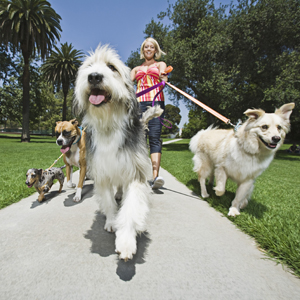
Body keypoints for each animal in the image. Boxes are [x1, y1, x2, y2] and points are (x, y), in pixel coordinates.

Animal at [74, 44, 161, 260]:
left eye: (111, 67)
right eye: (89, 67)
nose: (94, 77)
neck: (109, 124)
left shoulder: (136, 172)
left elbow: (131, 208)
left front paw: (126, 241)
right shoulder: (101, 172)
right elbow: (108, 200)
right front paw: (112, 221)